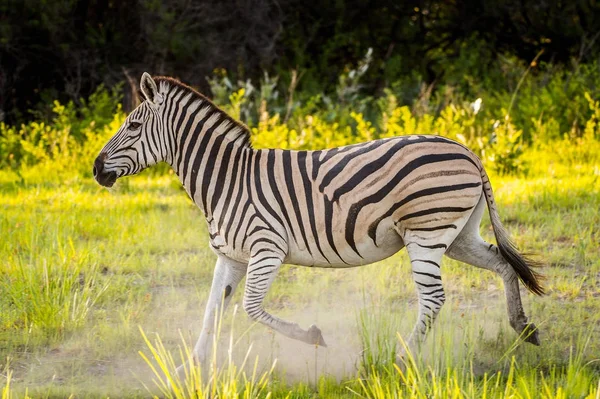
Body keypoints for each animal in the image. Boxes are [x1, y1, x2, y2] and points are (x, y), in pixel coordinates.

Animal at [94, 72, 544, 368]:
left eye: (133, 125)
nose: (96, 170)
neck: (226, 181)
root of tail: (467, 151)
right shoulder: (230, 257)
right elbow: (212, 311)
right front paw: (192, 370)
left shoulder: (266, 249)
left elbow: (250, 308)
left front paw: (312, 336)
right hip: (457, 235)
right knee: (502, 264)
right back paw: (523, 327)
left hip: (427, 232)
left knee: (433, 298)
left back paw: (399, 360)